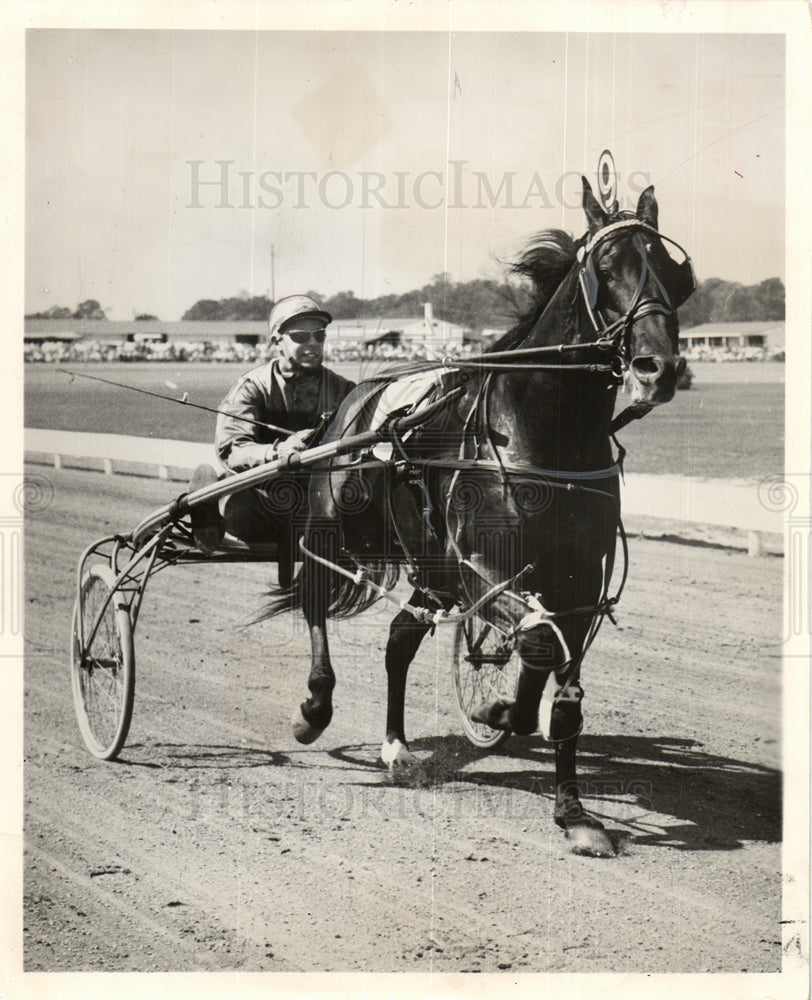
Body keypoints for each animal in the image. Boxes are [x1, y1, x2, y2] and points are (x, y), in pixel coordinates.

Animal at [264, 176, 696, 856]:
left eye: (677, 275)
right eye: (606, 268)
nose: (661, 368)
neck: (541, 431)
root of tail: (351, 401)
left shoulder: (580, 578)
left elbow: (559, 680)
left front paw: (572, 810)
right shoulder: (480, 568)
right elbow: (538, 645)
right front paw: (494, 712)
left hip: (430, 567)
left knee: (399, 639)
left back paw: (396, 748)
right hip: (334, 532)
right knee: (313, 600)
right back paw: (314, 709)